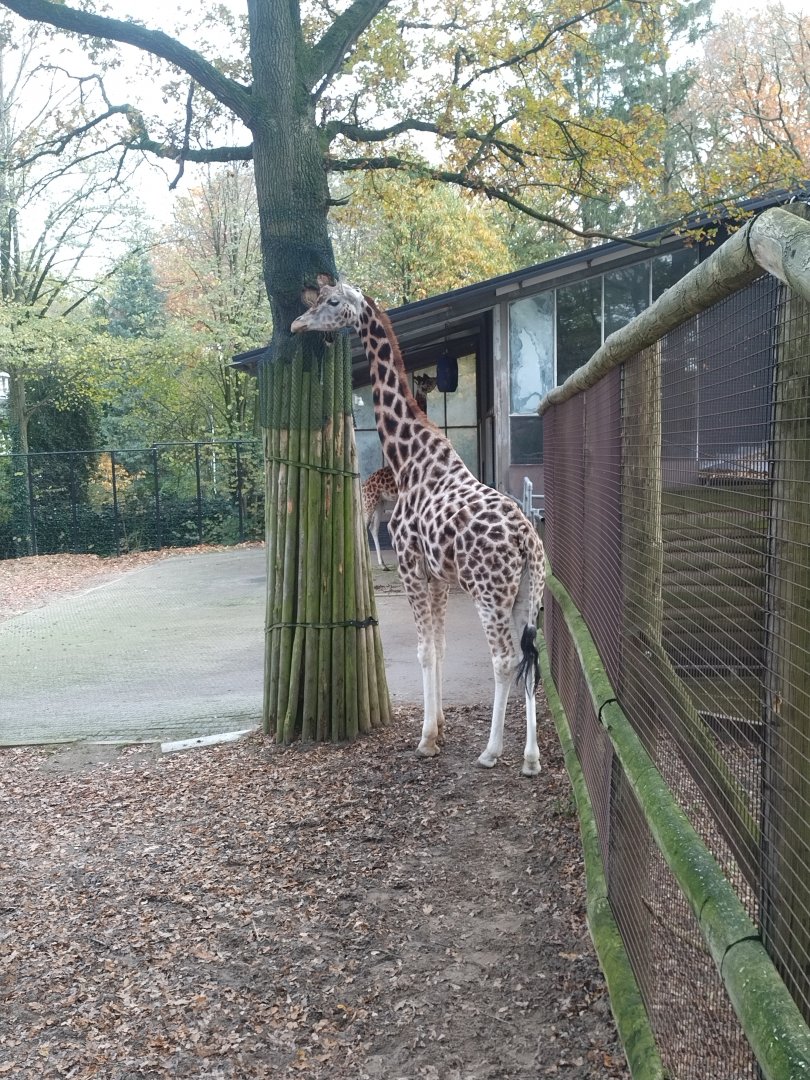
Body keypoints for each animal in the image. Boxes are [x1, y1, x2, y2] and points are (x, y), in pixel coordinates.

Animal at [291, 275, 546, 775]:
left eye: (331, 301)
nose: (296, 324)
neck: (409, 458)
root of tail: (528, 540)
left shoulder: (411, 567)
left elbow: (424, 649)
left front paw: (426, 739)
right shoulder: (438, 577)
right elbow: (440, 647)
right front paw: (440, 727)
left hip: (489, 594)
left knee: (505, 659)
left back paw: (492, 751)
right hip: (529, 594)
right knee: (531, 659)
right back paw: (530, 758)